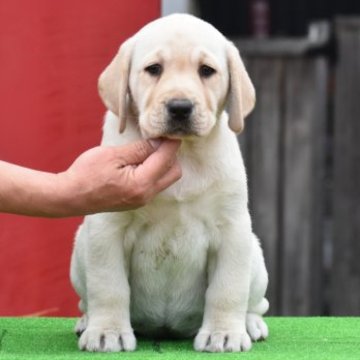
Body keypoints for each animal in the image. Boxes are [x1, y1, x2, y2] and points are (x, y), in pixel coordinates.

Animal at [70, 13, 268, 352]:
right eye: (154, 69)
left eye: (206, 71)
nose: (179, 107)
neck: (184, 153)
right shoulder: (107, 226)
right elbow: (109, 286)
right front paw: (108, 332)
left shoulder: (232, 228)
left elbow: (227, 289)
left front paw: (223, 333)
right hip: (80, 250)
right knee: (87, 298)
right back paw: (87, 321)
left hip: (254, 254)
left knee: (256, 302)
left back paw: (250, 323)